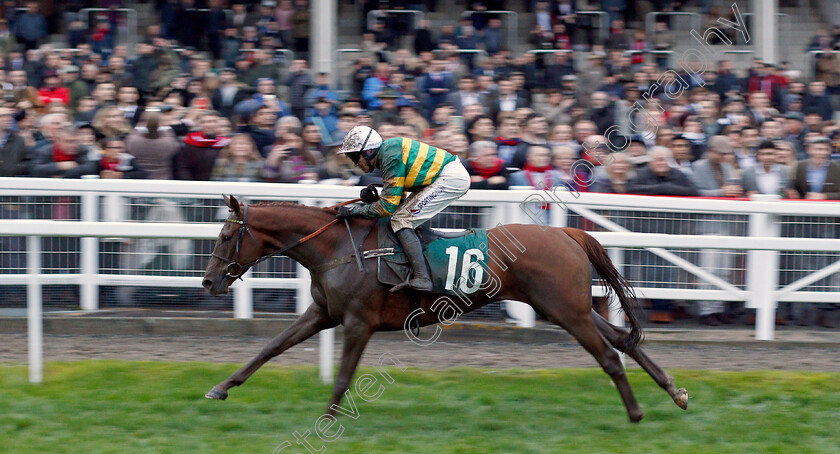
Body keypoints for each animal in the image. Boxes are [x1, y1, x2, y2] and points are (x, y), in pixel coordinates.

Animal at [203, 195, 688, 422]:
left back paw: (636, 413)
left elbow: (342, 376)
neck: (338, 249)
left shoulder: (358, 323)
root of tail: (566, 233)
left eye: (226, 236)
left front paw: (326, 418)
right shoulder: (322, 314)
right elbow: (270, 348)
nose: (208, 282)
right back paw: (675, 391)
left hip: (567, 311)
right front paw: (221, 388)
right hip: (567, 309)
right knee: (622, 339)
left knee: (609, 355)